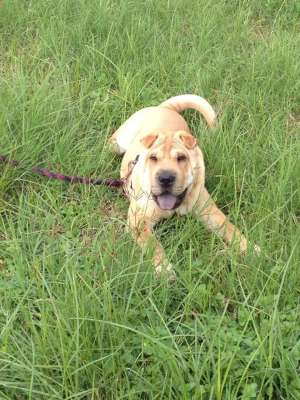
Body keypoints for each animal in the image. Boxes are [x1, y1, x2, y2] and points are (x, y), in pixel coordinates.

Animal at [109, 95, 258, 280]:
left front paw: (250, 248)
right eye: (153, 158)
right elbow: (153, 245)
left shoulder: (209, 211)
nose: (165, 178)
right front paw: (164, 268)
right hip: (119, 143)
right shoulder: (138, 221)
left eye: (181, 158)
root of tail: (166, 108)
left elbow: (230, 228)